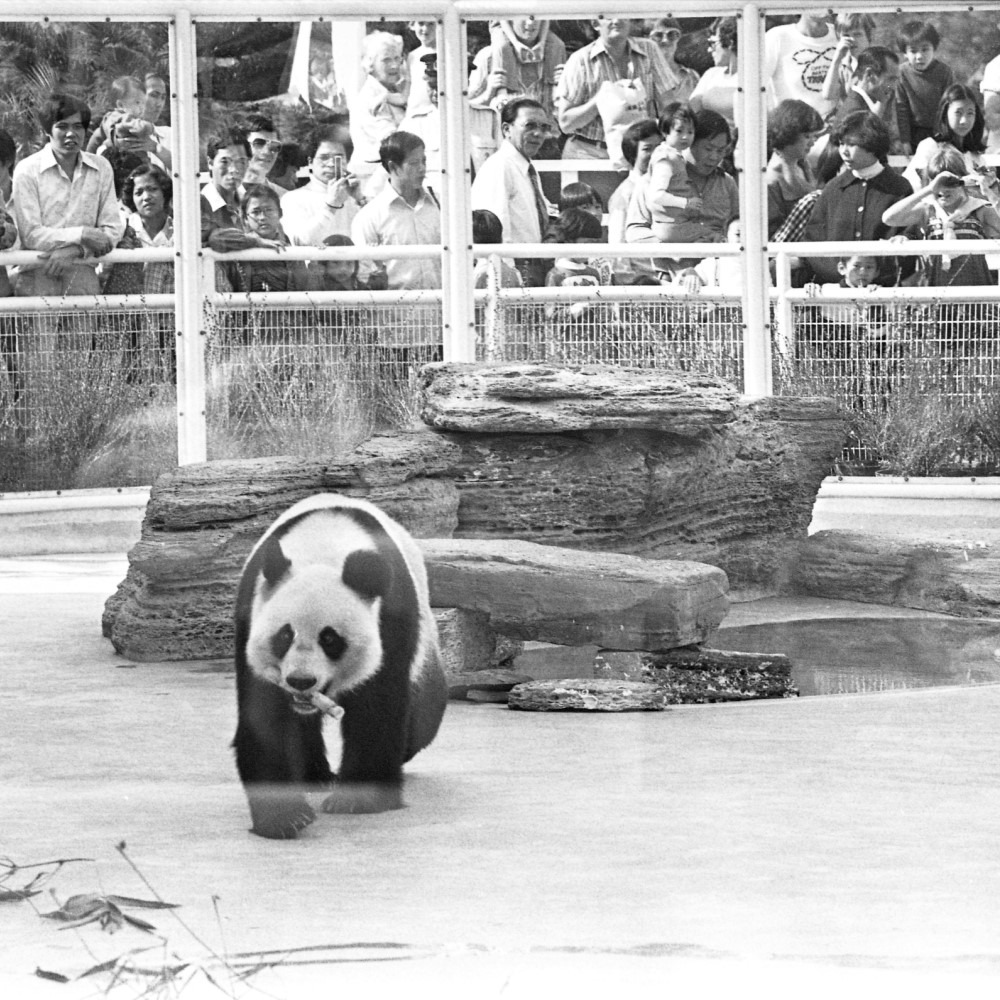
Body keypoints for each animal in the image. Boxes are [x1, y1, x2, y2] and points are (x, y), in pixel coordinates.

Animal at [232, 493, 448, 839]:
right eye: (285, 635)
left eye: (330, 639)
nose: (301, 681)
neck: (324, 546)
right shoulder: (251, 613)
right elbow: (266, 716)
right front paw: (284, 817)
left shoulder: (392, 616)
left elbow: (376, 706)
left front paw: (359, 800)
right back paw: (315, 776)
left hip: (426, 646)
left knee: (423, 717)